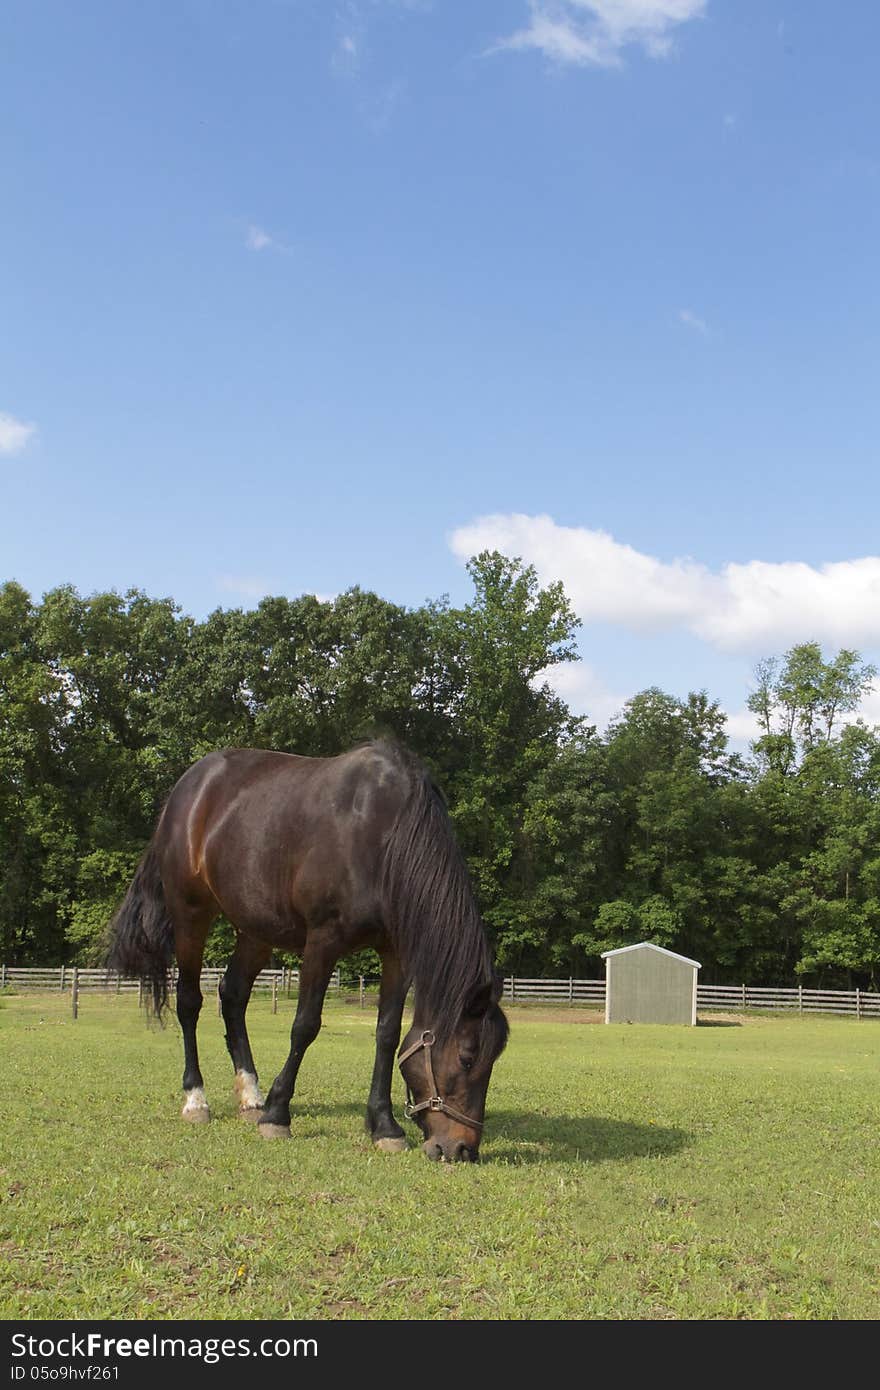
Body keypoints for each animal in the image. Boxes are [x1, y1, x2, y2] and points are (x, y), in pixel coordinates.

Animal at [107, 739, 508, 1162]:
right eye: (467, 1057)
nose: (461, 1149)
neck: (382, 835)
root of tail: (188, 787)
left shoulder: (395, 954)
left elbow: (387, 1033)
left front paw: (384, 1125)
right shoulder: (321, 942)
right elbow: (305, 1026)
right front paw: (277, 1115)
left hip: (256, 930)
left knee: (232, 996)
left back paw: (251, 1097)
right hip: (190, 915)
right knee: (189, 1002)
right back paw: (197, 1100)